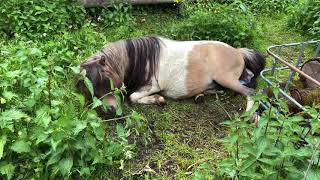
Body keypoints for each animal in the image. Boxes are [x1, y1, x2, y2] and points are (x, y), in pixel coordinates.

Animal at [75, 36, 264, 118]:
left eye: (105, 80)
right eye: (88, 87)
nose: (110, 111)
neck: (143, 59)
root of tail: (237, 51)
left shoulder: (153, 86)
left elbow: (133, 97)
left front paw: (158, 99)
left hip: (227, 79)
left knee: (251, 92)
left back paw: (249, 115)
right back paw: (201, 95)